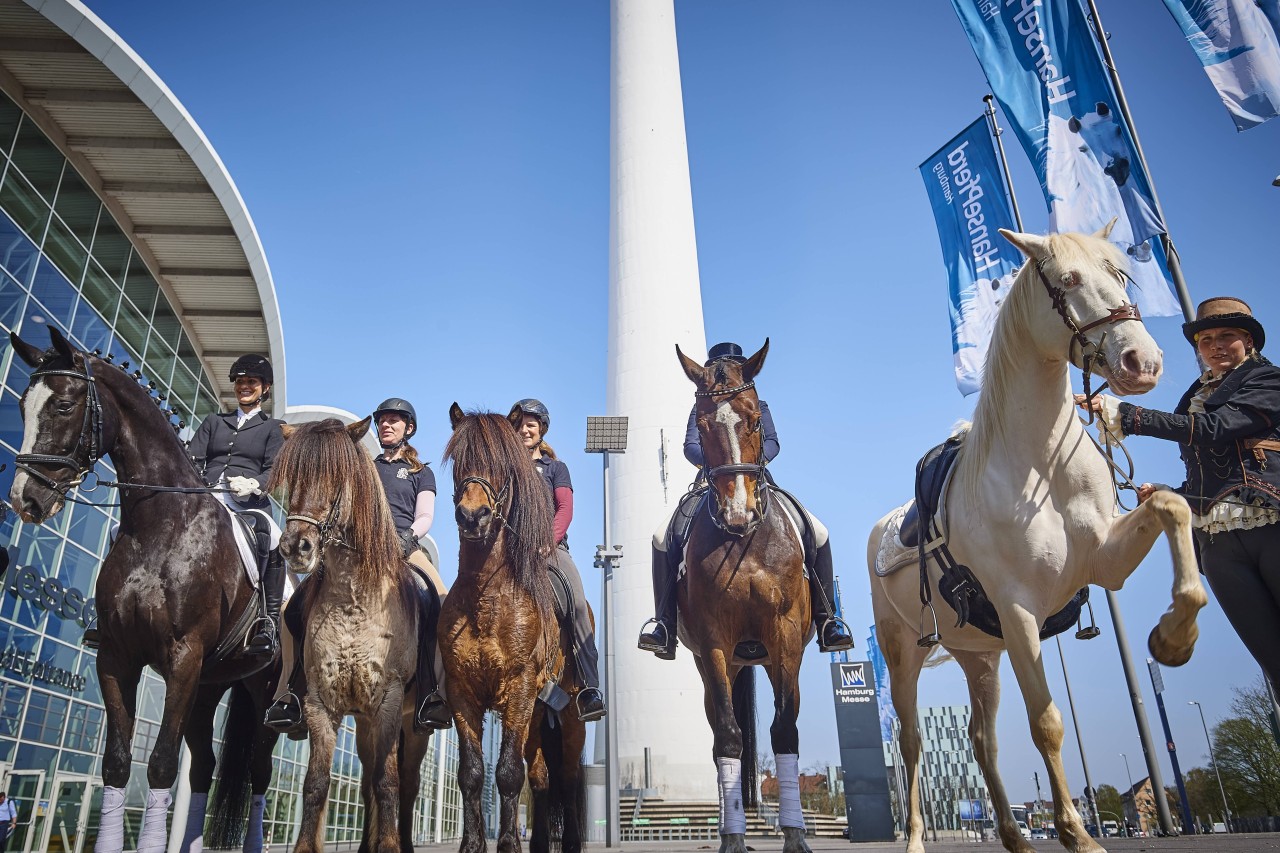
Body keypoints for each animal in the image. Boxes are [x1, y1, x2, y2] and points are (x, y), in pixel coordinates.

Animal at [6, 325, 279, 850]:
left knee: (258, 772)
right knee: (205, 768)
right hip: (211, 685)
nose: (25, 501)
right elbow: (116, 764)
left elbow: (160, 765)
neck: (160, 524)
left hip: (266, 690)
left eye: (64, 406)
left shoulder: (182, 656)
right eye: (23, 405)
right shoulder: (116, 656)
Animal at [270, 417, 435, 850]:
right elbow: (316, 784)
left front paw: (391, 846)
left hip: (412, 725)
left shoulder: (389, 702)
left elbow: (389, 784)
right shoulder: (319, 701)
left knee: (406, 784)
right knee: (365, 784)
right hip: (363, 722)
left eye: (337, 478)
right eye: (294, 478)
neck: (353, 599)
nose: (296, 547)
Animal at [437, 404, 583, 850]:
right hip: (537, 720)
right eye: (459, 460)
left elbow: (506, 773)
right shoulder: (462, 693)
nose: (473, 516)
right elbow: (472, 774)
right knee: (542, 778)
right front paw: (473, 844)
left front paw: (507, 844)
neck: (486, 596)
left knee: (567, 778)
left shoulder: (518, 690)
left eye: (504, 467)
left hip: (569, 720)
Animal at [675, 340, 814, 853]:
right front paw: (733, 837)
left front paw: (795, 835)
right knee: (720, 733)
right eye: (700, 425)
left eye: (754, 419)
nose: (738, 511)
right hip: (720, 663)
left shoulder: (785, 637)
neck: (744, 543)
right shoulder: (714, 643)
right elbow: (731, 736)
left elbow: (784, 730)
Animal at [865, 225, 1203, 850]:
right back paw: (918, 836)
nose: (1142, 361)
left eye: (1120, 273)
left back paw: (1015, 836)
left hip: (980, 657)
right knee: (912, 742)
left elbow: (1171, 507)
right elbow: (1047, 723)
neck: (1043, 466)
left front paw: (1174, 637)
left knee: (982, 741)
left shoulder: (1106, 562)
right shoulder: (1020, 609)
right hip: (902, 652)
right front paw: (1077, 833)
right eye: (1067, 279)